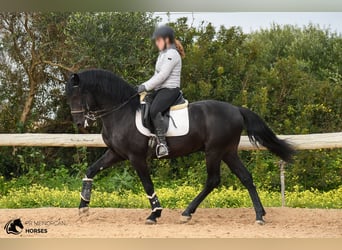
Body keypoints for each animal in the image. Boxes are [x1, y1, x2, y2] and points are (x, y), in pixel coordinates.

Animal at [66, 68, 294, 225]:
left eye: (77, 95)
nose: (79, 124)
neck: (122, 112)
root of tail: (236, 110)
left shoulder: (136, 157)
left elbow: (147, 184)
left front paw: (155, 214)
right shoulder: (116, 153)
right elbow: (91, 170)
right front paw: (83, 206)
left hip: (214, 151)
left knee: (213, 180)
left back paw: (187, 213)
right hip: (228, 152)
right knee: (245, 177)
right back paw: (259, 215)